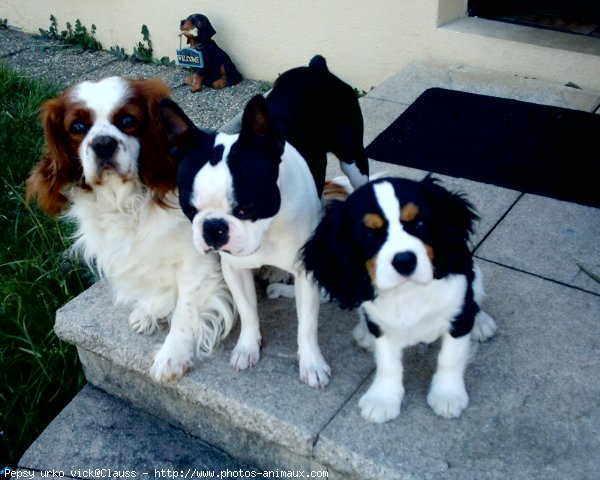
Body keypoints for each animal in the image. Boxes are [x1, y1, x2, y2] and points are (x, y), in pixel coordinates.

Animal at [26, 77, 237, 384]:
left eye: (127, 120)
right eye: (77, 127)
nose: (103, 143)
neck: (125, 203)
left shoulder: (197, 262)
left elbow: (185, 313)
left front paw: (173, 355)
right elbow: (152, 286)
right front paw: (148, 311)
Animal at [157, 56, 368, 388]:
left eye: (247, 208)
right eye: (189, 209)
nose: (213, 229)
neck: (268, 228)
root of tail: (315, 67)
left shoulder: (305, 273)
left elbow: (306, 324)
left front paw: (312, 363)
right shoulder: (234, 269)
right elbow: (247, 311)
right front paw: (247, 347)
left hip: (353, 159)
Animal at [304, 175, 496, 420]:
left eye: (420, 224)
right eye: (369, 235)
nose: (405, 261)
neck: (407, 290)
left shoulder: (458, 316)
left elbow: (450, 358)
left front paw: (447, 395)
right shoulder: (382, 326)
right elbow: (388, 364)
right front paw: (383, 399)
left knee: (476, 297)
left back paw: (481, 322)